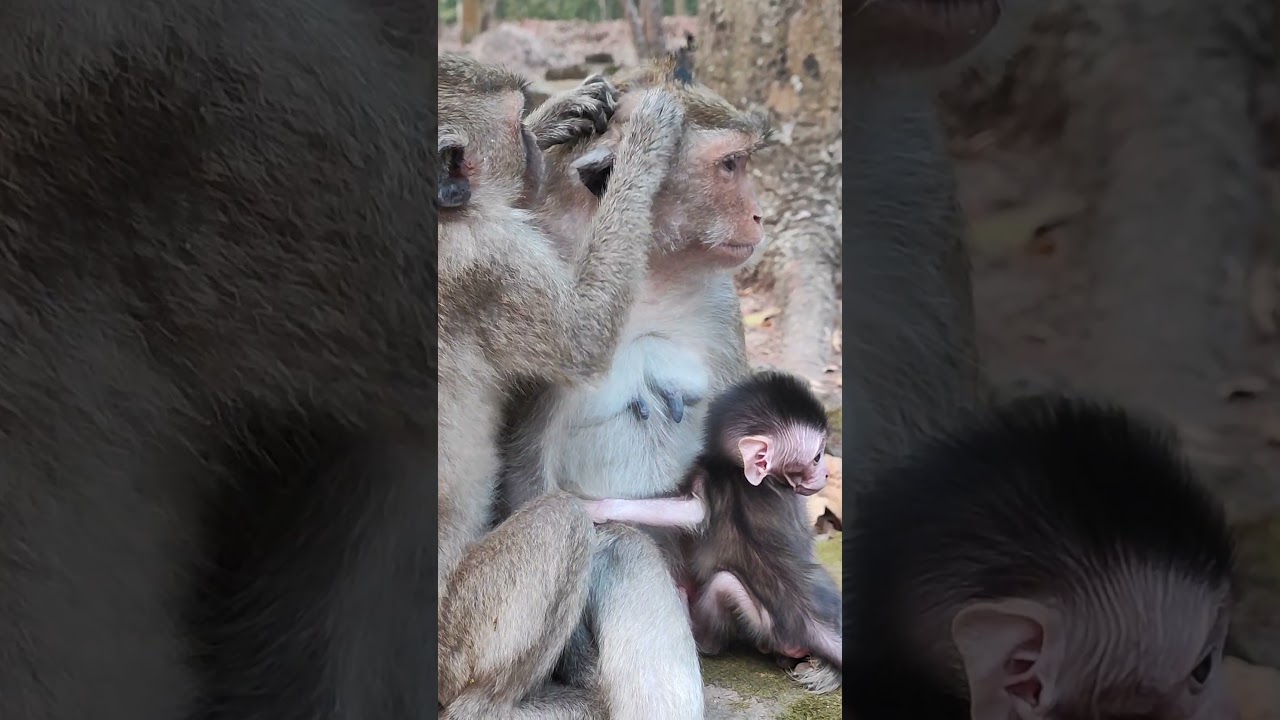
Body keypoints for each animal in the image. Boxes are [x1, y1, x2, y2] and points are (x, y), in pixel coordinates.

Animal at [434, 54, 688, 718]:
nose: (526, 143)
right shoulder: (492, 258)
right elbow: (583, 339)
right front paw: (644, 147)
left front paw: (562, 114)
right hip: (453, 638)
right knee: (563, 523)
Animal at [583, 371, 843, 694]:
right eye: (818, 457)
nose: (827, 473)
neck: (737, 471)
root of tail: (811, 623)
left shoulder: (708, 480)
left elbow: (688, 512)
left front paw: (594, 508)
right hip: (767, 631)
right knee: (724, 584)